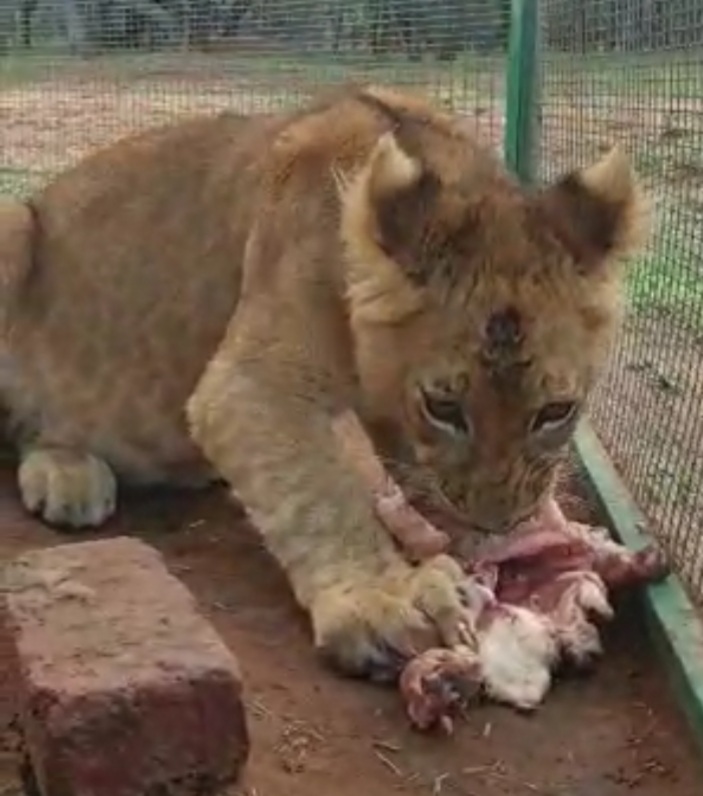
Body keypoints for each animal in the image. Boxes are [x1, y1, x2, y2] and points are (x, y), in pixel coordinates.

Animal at [0, 85, 650, 680]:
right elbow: (320, 493)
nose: (499, 526)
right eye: (443, 406)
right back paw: (66, 474)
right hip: (13, 228)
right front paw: (387, 602)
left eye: (556, 411)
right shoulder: (251, 384)